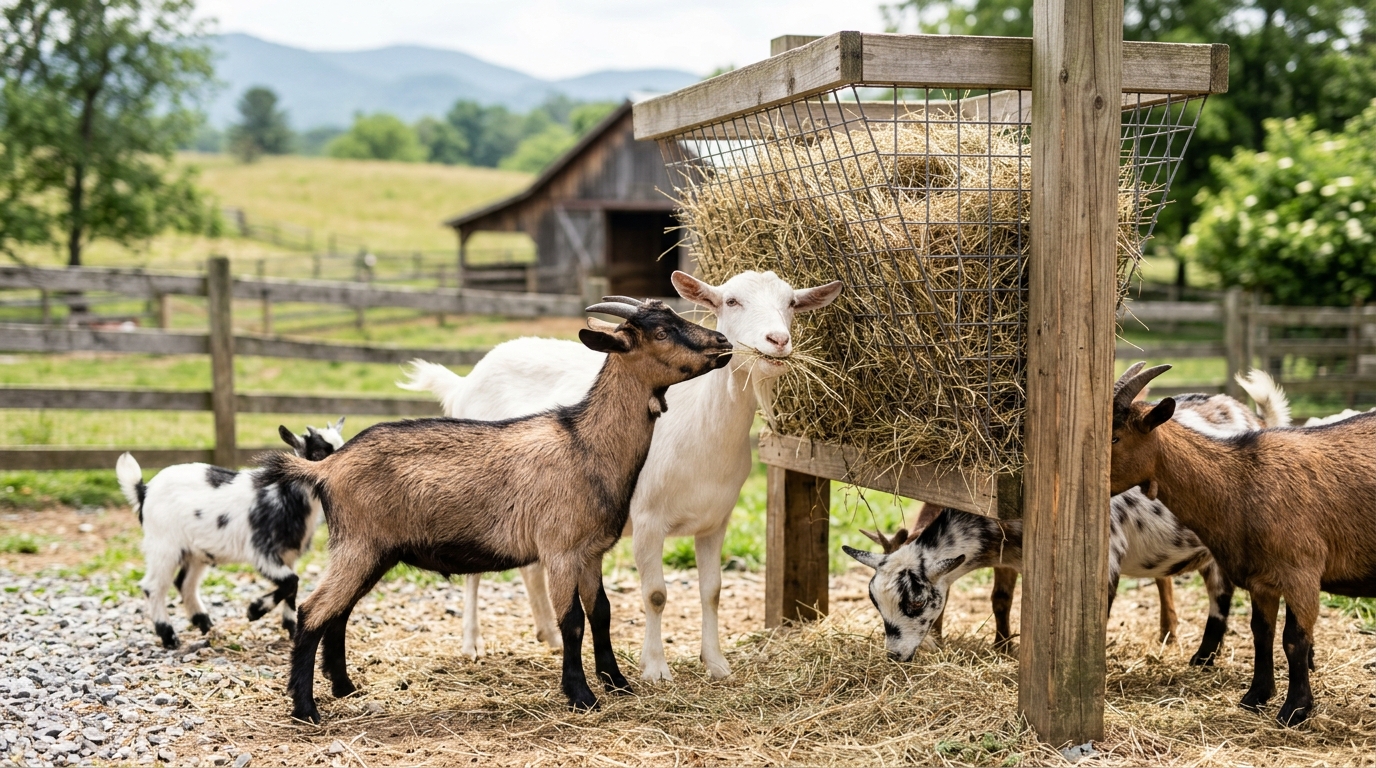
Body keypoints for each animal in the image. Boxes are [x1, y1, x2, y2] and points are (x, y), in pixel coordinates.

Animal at [114, 418, 345, 650]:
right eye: (317, 453)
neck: (284, 495)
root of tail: (143, 490)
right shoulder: (262, 551)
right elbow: (291, 581)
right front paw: (254, 610)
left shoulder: (289, 555)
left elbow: (292, 588)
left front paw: (291, 628)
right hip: (164, 545)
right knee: (153, 586)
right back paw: (169, 636)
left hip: (196, 551)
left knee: (185, 583)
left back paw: (205, 624)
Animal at [264, 298, 734, 722]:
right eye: (661, 331)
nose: (724, 342)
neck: (585, 444)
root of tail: (326, 468)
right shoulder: (559, 550)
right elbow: (572, 622)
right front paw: (581, 696)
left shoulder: (591, 551)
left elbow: (601, 613)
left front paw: (618, 683)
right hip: (358, 544)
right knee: (313, 612)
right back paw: (306, 710)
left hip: (371, 551)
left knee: (338, 613)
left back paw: (344, 687)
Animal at [400, 269, 842, 680]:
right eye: (731, 301)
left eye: (791, 303)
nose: (778, 341)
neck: (703, 429)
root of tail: (463, 382)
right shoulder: (647, 520)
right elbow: (655, 594)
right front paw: (656, 669)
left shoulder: (715, 522)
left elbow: (712, 592)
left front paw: (716, 663)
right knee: (475, 573)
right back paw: (473, 643)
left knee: (530, 566)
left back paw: (551, 635)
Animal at [845, 376, 1291, 666]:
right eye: (875, 602)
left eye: (917, 601)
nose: (896, 656)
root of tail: (1254, 418)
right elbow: (1004, 601)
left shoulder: (1105, 557)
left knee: (1221, 593)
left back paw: (1201, 658)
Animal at [1111, 362, 1376, 726]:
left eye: (1114, 437)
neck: (1240, 479)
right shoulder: (1261, 579)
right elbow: (1261, 634)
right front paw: (1255, 697)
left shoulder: (1301, 572)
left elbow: (1294, 640)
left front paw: (1294, 710)